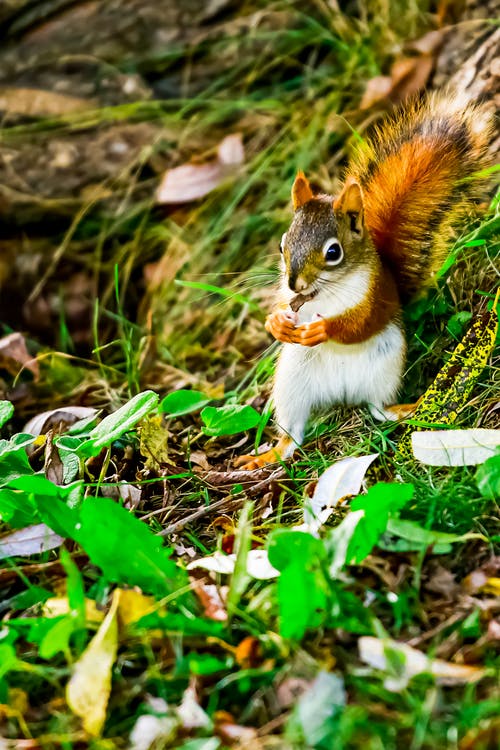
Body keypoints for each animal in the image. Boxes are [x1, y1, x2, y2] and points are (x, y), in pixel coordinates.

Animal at [236, 91, 494, 470]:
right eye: (283, 245)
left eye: (333, 252)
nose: (296, 284)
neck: (322, 294)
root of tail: (342, 395)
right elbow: (282, 310)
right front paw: (277, 323)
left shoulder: (374, 296)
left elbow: (360, 323)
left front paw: (324, 329)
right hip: (293, 384)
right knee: (294, 436)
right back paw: (267, 455)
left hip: (384, 371)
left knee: (378, 410)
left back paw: (408, 407)